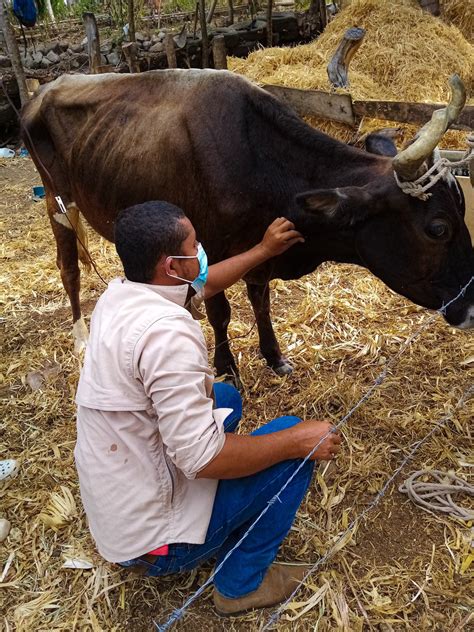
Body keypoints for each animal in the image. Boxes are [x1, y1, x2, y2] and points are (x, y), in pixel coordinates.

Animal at [20, 69, 472, 380]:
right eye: (437, 228)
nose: (470, 307)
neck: (258, 159)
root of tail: (43, 88)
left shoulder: (261, 249)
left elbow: (260, 300)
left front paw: (274, 356)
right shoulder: (208, 245)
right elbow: (221, 312)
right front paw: (226, 367)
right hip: (58, 201)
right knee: (69, 268)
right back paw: (80, 337)